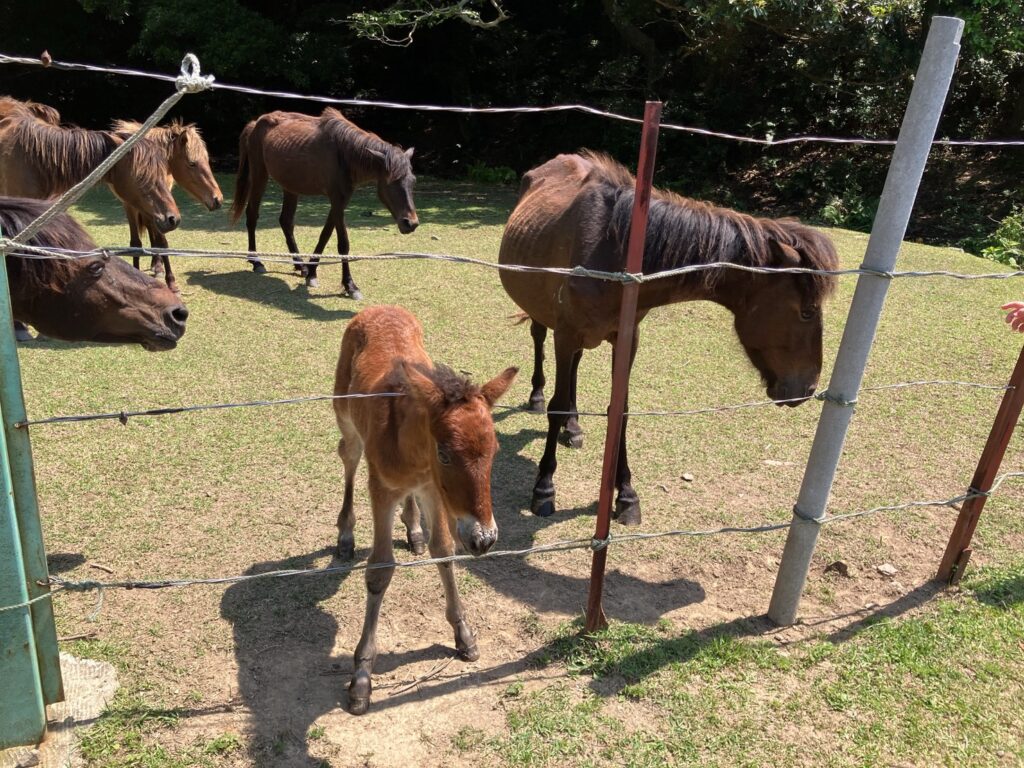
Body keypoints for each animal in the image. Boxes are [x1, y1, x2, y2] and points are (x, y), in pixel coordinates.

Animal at [111, 119, 223, 293]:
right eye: (192, 163)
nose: (217, 199)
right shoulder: (129, 205)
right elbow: (135, 243)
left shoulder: (164, 209)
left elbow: (162, 242)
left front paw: (171, 282)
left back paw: (157, 266)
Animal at [230, 108, 419, 298]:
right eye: (391, 182)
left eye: (413, 181)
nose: (411, 223)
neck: (344, 153)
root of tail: (255, 123)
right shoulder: (337, 198)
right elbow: (343, 243)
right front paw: (350, 285)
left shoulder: (341, 199)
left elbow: (325, 234)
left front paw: (312, 272)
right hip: (259, 176)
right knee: (252, 215)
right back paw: (256, 261)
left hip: (290, 186)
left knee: (286, 221)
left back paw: (300, 265)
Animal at [332, 304, 516, 714]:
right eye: (445, 453)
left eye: (495, 452)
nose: (484, 539)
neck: (412, 452)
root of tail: (378, 307)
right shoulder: (381, 488)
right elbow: (380, 570)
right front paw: (362, 677)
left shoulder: (433, 490)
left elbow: (444, 552)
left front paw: (464, 635)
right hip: (344, 416)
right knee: (347, 455)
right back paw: (346, 535)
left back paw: (414, 529)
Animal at [499, 151, 839, 525]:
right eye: (807, 311)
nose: (806, 389)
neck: (612, 255)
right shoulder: (567, 332)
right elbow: (556, 407)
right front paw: (544, 488)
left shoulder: (626, 338)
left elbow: (620, 411)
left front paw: (626, 496)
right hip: (545, 318)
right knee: (539, 341)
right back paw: (537, 397)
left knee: (574, 366)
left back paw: (573, 427)